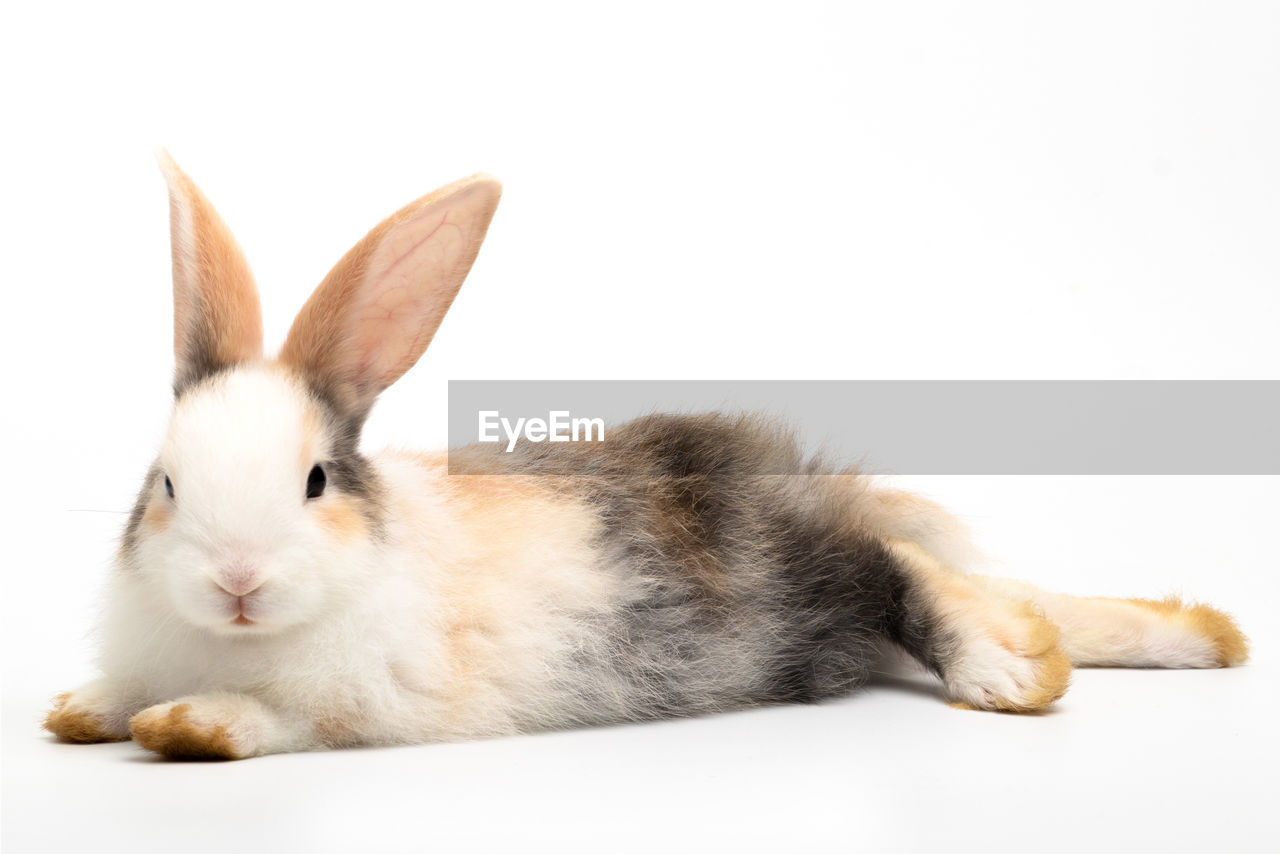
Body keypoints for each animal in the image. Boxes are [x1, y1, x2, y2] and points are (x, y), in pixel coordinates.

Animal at [45, 155, 1244, 763]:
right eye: (165, 484)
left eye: (314, 481)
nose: (236, 582)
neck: (235, 640)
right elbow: (120, 691)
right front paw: (78, 710)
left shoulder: (362, 698)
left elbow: (273, 720)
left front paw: (191, 724)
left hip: (793, 577)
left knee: (899, 569)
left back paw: (1012, 667)